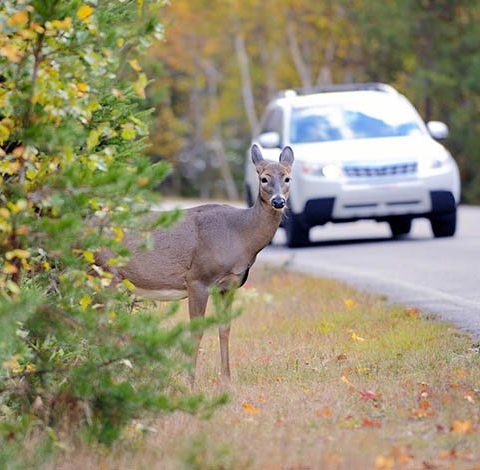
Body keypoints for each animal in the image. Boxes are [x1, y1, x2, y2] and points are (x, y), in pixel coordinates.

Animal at [99, 145, 294, 384]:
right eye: (264, 178)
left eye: (287, 178)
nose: (278, 201)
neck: (240, 235)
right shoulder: (198, 279)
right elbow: (196, 331)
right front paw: (190, 381)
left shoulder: (228, 285)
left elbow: (225, 328)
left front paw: (226, 380)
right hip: (106, 272)